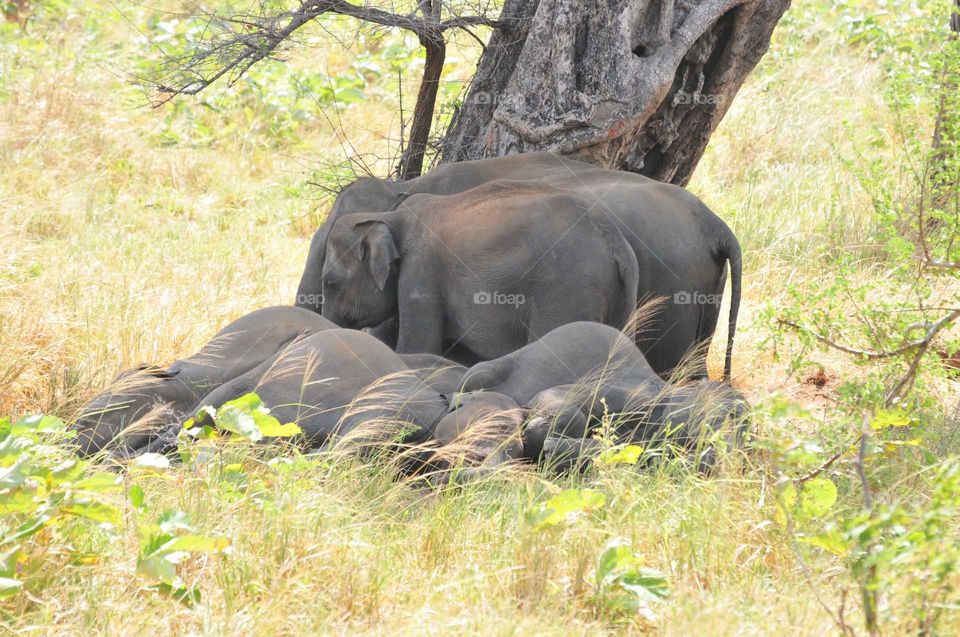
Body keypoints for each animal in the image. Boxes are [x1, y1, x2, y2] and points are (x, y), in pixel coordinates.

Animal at [319, 180, 639, 362]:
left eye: (330, 283)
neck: (390, 217)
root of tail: (615, 243)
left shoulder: (421, 272)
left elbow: (418, 347)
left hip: (565, 289)